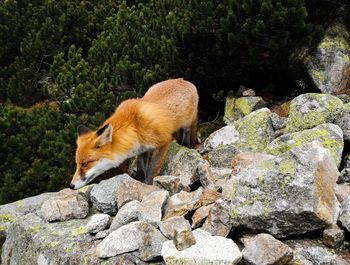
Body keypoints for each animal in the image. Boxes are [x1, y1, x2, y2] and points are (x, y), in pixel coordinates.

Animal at [69, 77, 198, 189]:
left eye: (85, 164)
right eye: (77, 164)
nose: (71, 186)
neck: (134, 128)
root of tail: (183, 80)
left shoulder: (163, 142)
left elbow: (152, 169)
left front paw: (147, 185)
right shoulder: (143, 150)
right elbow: (142, 168)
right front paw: (140, 181)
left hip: (188, 122)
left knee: (187, 132)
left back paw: (187, 144)